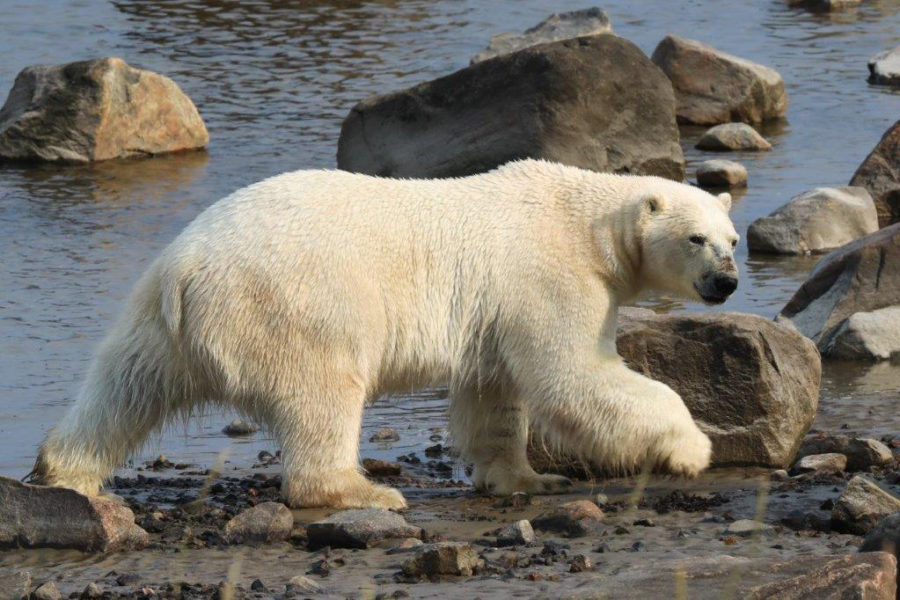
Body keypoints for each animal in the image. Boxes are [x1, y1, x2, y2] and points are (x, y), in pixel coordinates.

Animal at [29, 159, 739, 509]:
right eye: (695, 239)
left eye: (732, 240)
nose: (726, 281)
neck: (582, 219)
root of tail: (189, 270)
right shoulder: (550, 276)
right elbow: (574, 376)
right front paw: (691, 448)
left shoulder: (497, 309)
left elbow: (494, 395)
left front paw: (527, 480)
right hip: (293, 305)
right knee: (322, 395)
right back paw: (362, 492)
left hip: (155, 315)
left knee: (125, 385)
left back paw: (65, 471)